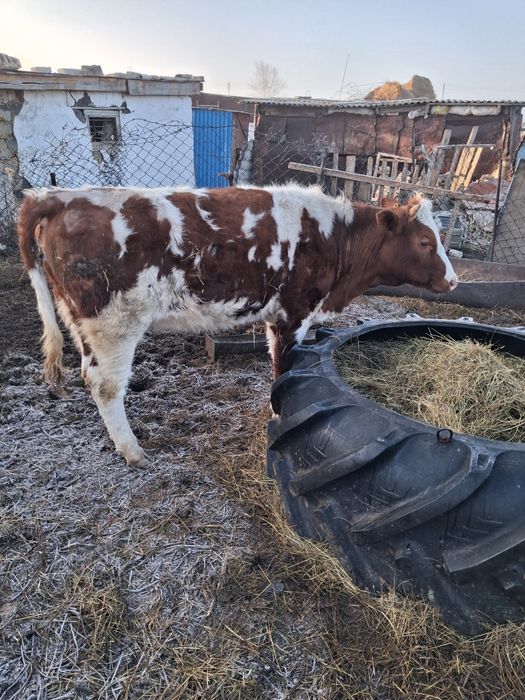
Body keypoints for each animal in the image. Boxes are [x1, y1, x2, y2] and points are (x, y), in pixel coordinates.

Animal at [18, 184, 457, 466]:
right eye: (424, 242)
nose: (454, 281)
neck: (334, 236)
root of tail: (56, 197)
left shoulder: (276, 315)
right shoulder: (295, 310)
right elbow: (284, 365)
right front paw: (280, 415)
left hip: (81, 321)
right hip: (115, 321)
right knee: (106, 385)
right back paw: (134, 452)